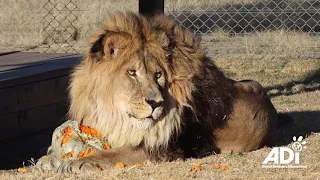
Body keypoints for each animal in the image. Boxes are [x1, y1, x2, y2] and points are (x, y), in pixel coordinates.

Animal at [36, 12, 278, 173]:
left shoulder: (163, 149)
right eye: (132, 73)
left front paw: (79, 162)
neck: (114, 112)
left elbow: (116, 153)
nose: (156, 103)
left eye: (158, 74)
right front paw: (50, 158)